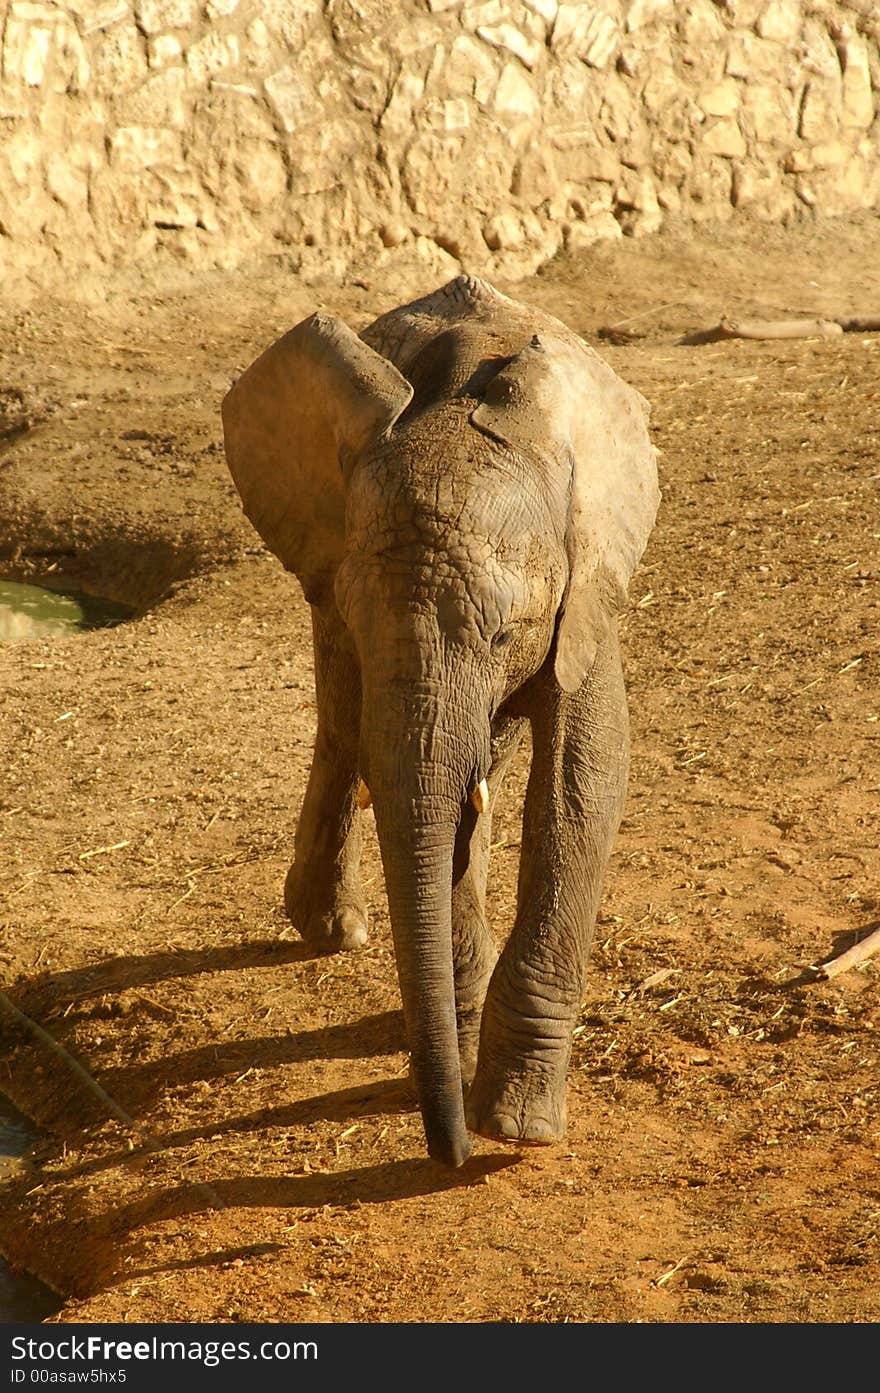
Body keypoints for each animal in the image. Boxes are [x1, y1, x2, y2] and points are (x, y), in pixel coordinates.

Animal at [221, 271, 660, 1164]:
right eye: (365, 622)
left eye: (502, 633)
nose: (448, 1150)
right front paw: (469, 1076)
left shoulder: (587, 580)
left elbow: (584, 780)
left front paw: (517, 1126)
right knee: (342, 726)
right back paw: (335, 930)